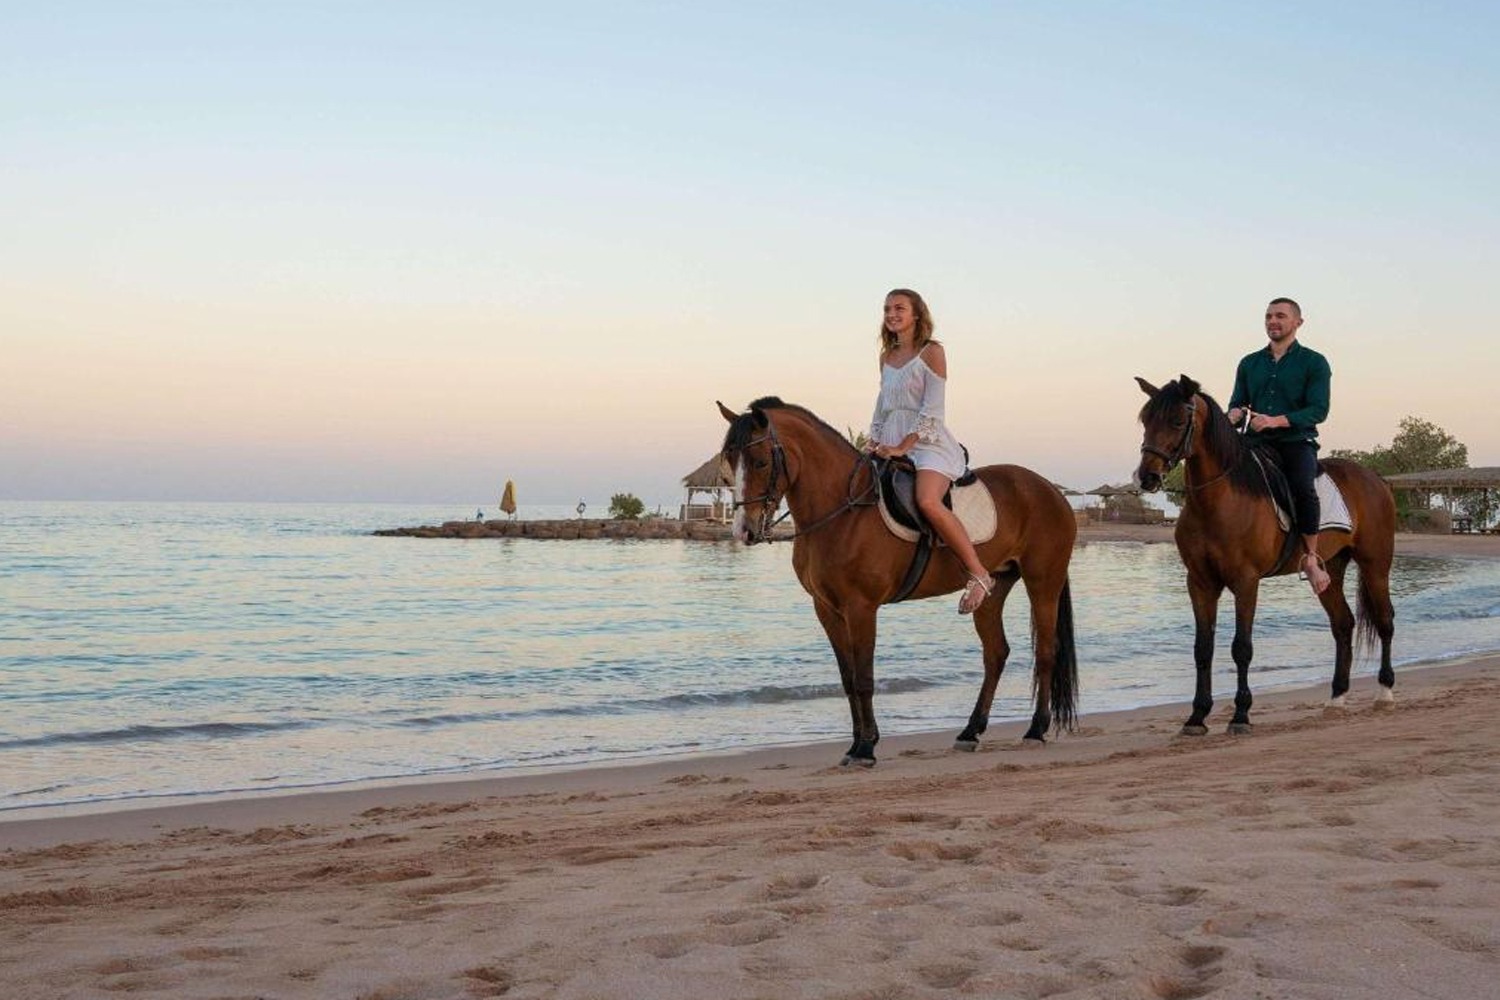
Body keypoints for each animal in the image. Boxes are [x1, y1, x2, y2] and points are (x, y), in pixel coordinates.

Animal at [717, 395, 1080, 767]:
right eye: (729, 461)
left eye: (760, 462)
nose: (743, 531)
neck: (843, 511)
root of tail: (1050, 490)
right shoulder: (827, 609)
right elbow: (848, 678)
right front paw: (856, 744)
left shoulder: (861, 607)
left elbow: (864, 678)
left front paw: (866, 748)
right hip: (993, 588)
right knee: (995, 653)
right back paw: (970, 732)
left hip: (1043, 582)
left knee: (1046, 652)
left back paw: (1035, 729)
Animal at [1128, 374, 1398, 734]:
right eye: (1145, 421)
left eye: (1177, 421)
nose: (1147, 476)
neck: (1219, 500)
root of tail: (1375, 479)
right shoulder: (1199, 582)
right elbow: (1203, 649)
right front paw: (1197, 716)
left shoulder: (1246, 582)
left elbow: (1241, 648)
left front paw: (1241, 714)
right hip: (1331, 569)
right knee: (1343, 625)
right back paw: (1337, 698)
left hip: (1375, 564)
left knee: (1385, 621)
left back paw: (1385, 692)